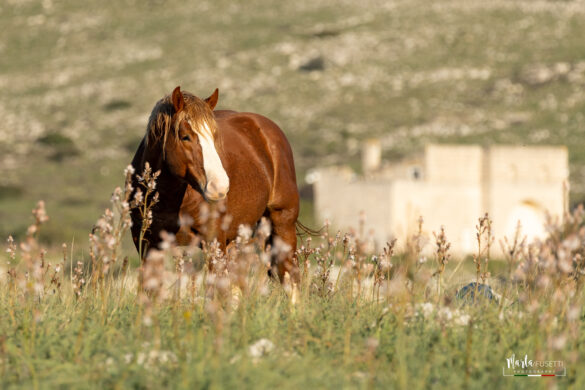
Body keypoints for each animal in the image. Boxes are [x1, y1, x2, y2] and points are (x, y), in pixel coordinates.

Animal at [129, 85, 298, 282]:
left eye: (215, 137)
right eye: (185, 137)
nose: (219, 187)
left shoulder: (213, 242)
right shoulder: (148, 248)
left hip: (283, 226)